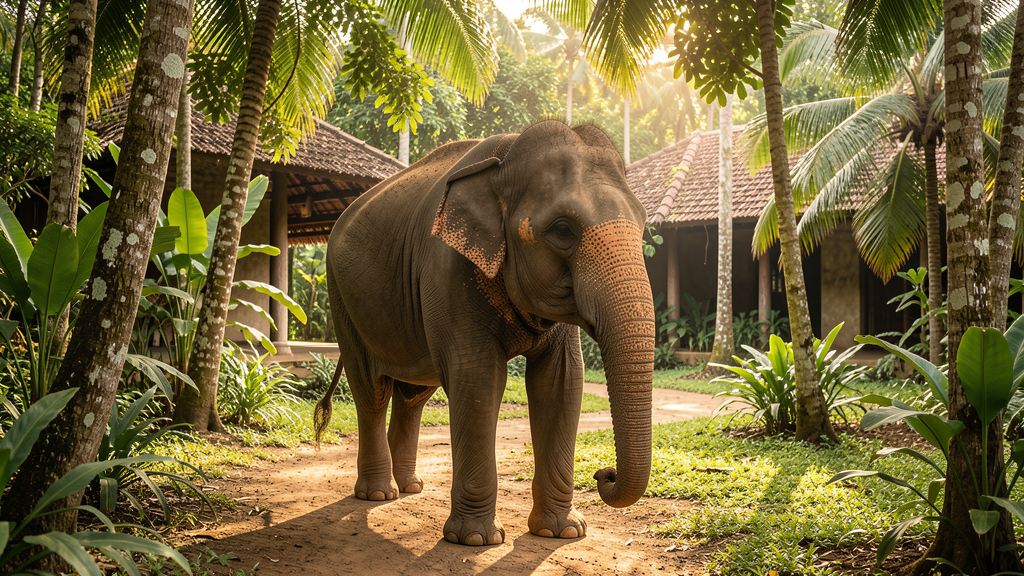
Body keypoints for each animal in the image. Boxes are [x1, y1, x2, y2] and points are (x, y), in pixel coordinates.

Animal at [313, 120, 655, 546]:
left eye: (643, 223)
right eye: (563, 229)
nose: (604, 474)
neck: (506, 160)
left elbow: (561, 381)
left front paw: (563, 532)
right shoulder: (448, 267)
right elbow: (477, 377)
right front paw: (475, 540)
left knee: (412, 395)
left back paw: (410, 487)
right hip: (342, 298)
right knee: (371, 390)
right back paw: (379, 494)